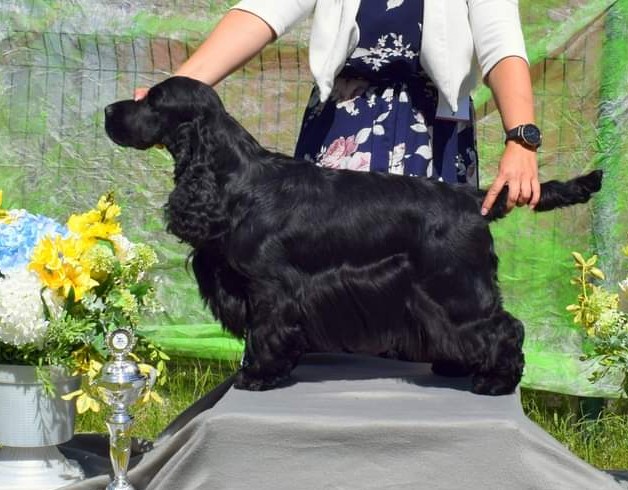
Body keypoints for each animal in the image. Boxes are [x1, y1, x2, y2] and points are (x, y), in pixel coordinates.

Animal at [105, 76, 602, 395]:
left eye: (152, 101)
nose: (109, 109)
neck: (232, 179)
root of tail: (473, 197)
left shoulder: (270, 287)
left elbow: (266, 331)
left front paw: (258, 376)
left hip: (455, 285)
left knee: (505, 327)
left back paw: (496, 381)